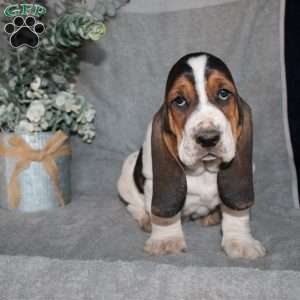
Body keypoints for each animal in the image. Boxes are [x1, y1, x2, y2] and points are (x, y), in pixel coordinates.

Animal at [117, 52, 264, 258]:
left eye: (223, 93)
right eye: (179, 100)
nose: (208, 138)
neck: (204, 170)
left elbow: (236, 213)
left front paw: (241, 241)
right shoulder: (153, 183)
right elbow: (164, 218)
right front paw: (166, 240)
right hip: (126, 173)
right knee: (133, 205)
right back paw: (145, 219)